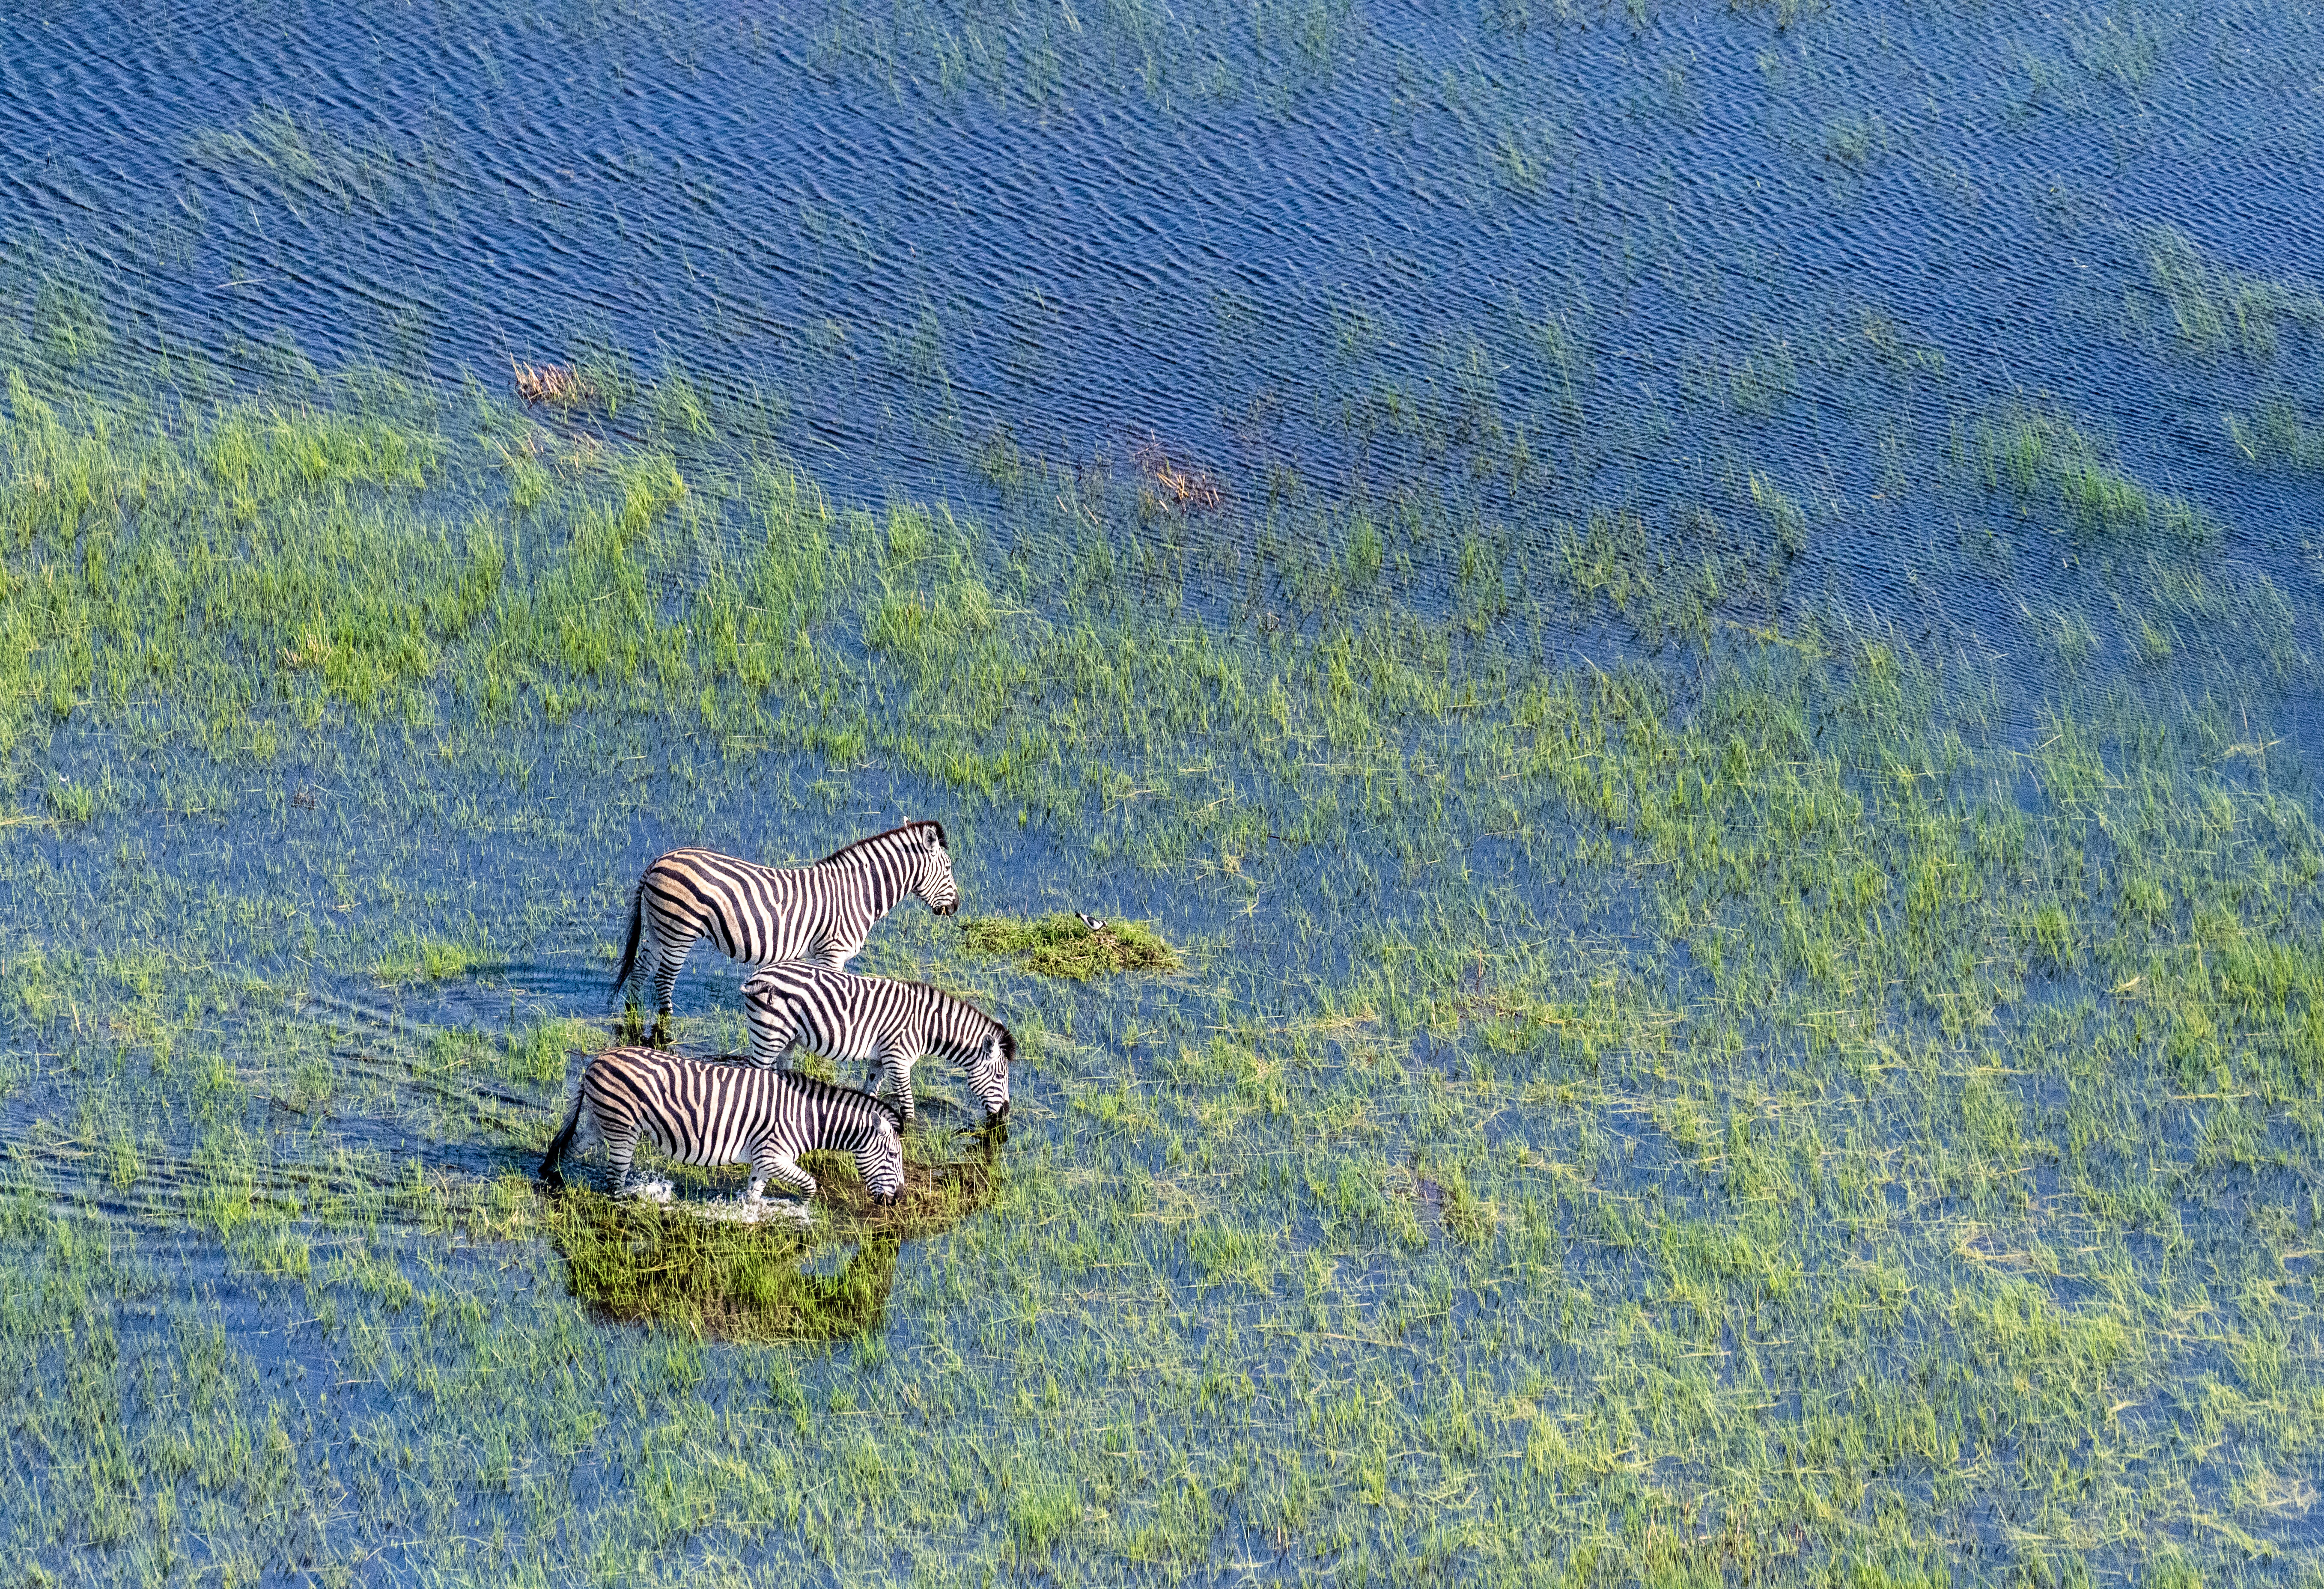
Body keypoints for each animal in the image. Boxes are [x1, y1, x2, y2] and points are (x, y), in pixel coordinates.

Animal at [538, 1045, 905, 1207]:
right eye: (892, 1157)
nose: (899, 1199)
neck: (806, 1118)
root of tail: (598, 1059)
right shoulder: (773, 1155)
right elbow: (810, 1185)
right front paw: (803, 1212)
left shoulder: (764, 1162)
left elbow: (753, 1195)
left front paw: (749, 1217)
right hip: (622, 1129)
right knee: (614, 1183)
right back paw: (637, 1199)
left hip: (597, 1122)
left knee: (566, 1147)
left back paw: (552, 1180)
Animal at [610, 821, 959, 1033]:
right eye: (948, 868)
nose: (956, 908)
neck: (857, 892)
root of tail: (658, 862)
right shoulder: (833, 951)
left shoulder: (821, 954)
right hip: (678, 931)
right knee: (664, 978)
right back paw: (668, 1022)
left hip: (659, 928)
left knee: (640, 971)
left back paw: (633, 1013)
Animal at [738, 962, 1011, 1129]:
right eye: (1000, 1076)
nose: (1006, 1114)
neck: (925, 1027)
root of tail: (756, 976)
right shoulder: (898, 1061)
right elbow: (908, 1108)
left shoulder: (880, 1061)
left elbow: (871, 1095)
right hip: (768, 1036)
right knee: (754, 1074)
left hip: (787, 1040)